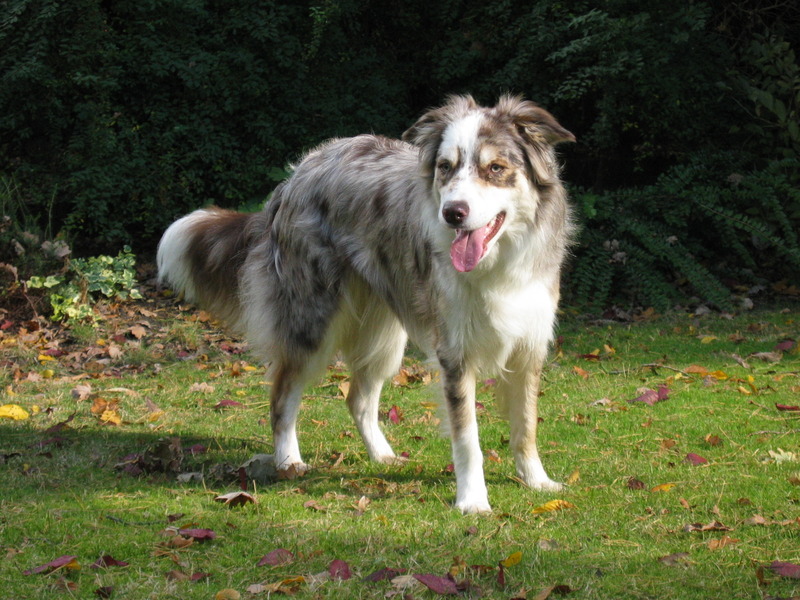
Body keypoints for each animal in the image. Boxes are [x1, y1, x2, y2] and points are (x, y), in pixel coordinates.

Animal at [158, 96, 576, 512]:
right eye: (445, 167)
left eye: (495, 168)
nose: (452, 213)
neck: (498, 263)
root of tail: (298, 173)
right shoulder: (454, 354)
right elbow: (467, 437)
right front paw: (472, 500)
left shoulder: (528, 346)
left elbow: (526, 425)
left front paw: (536, 481)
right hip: (312, 324)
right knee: (282, 396)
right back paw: (289, 461)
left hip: (384, 333)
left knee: (358, 398)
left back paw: (382, 455)